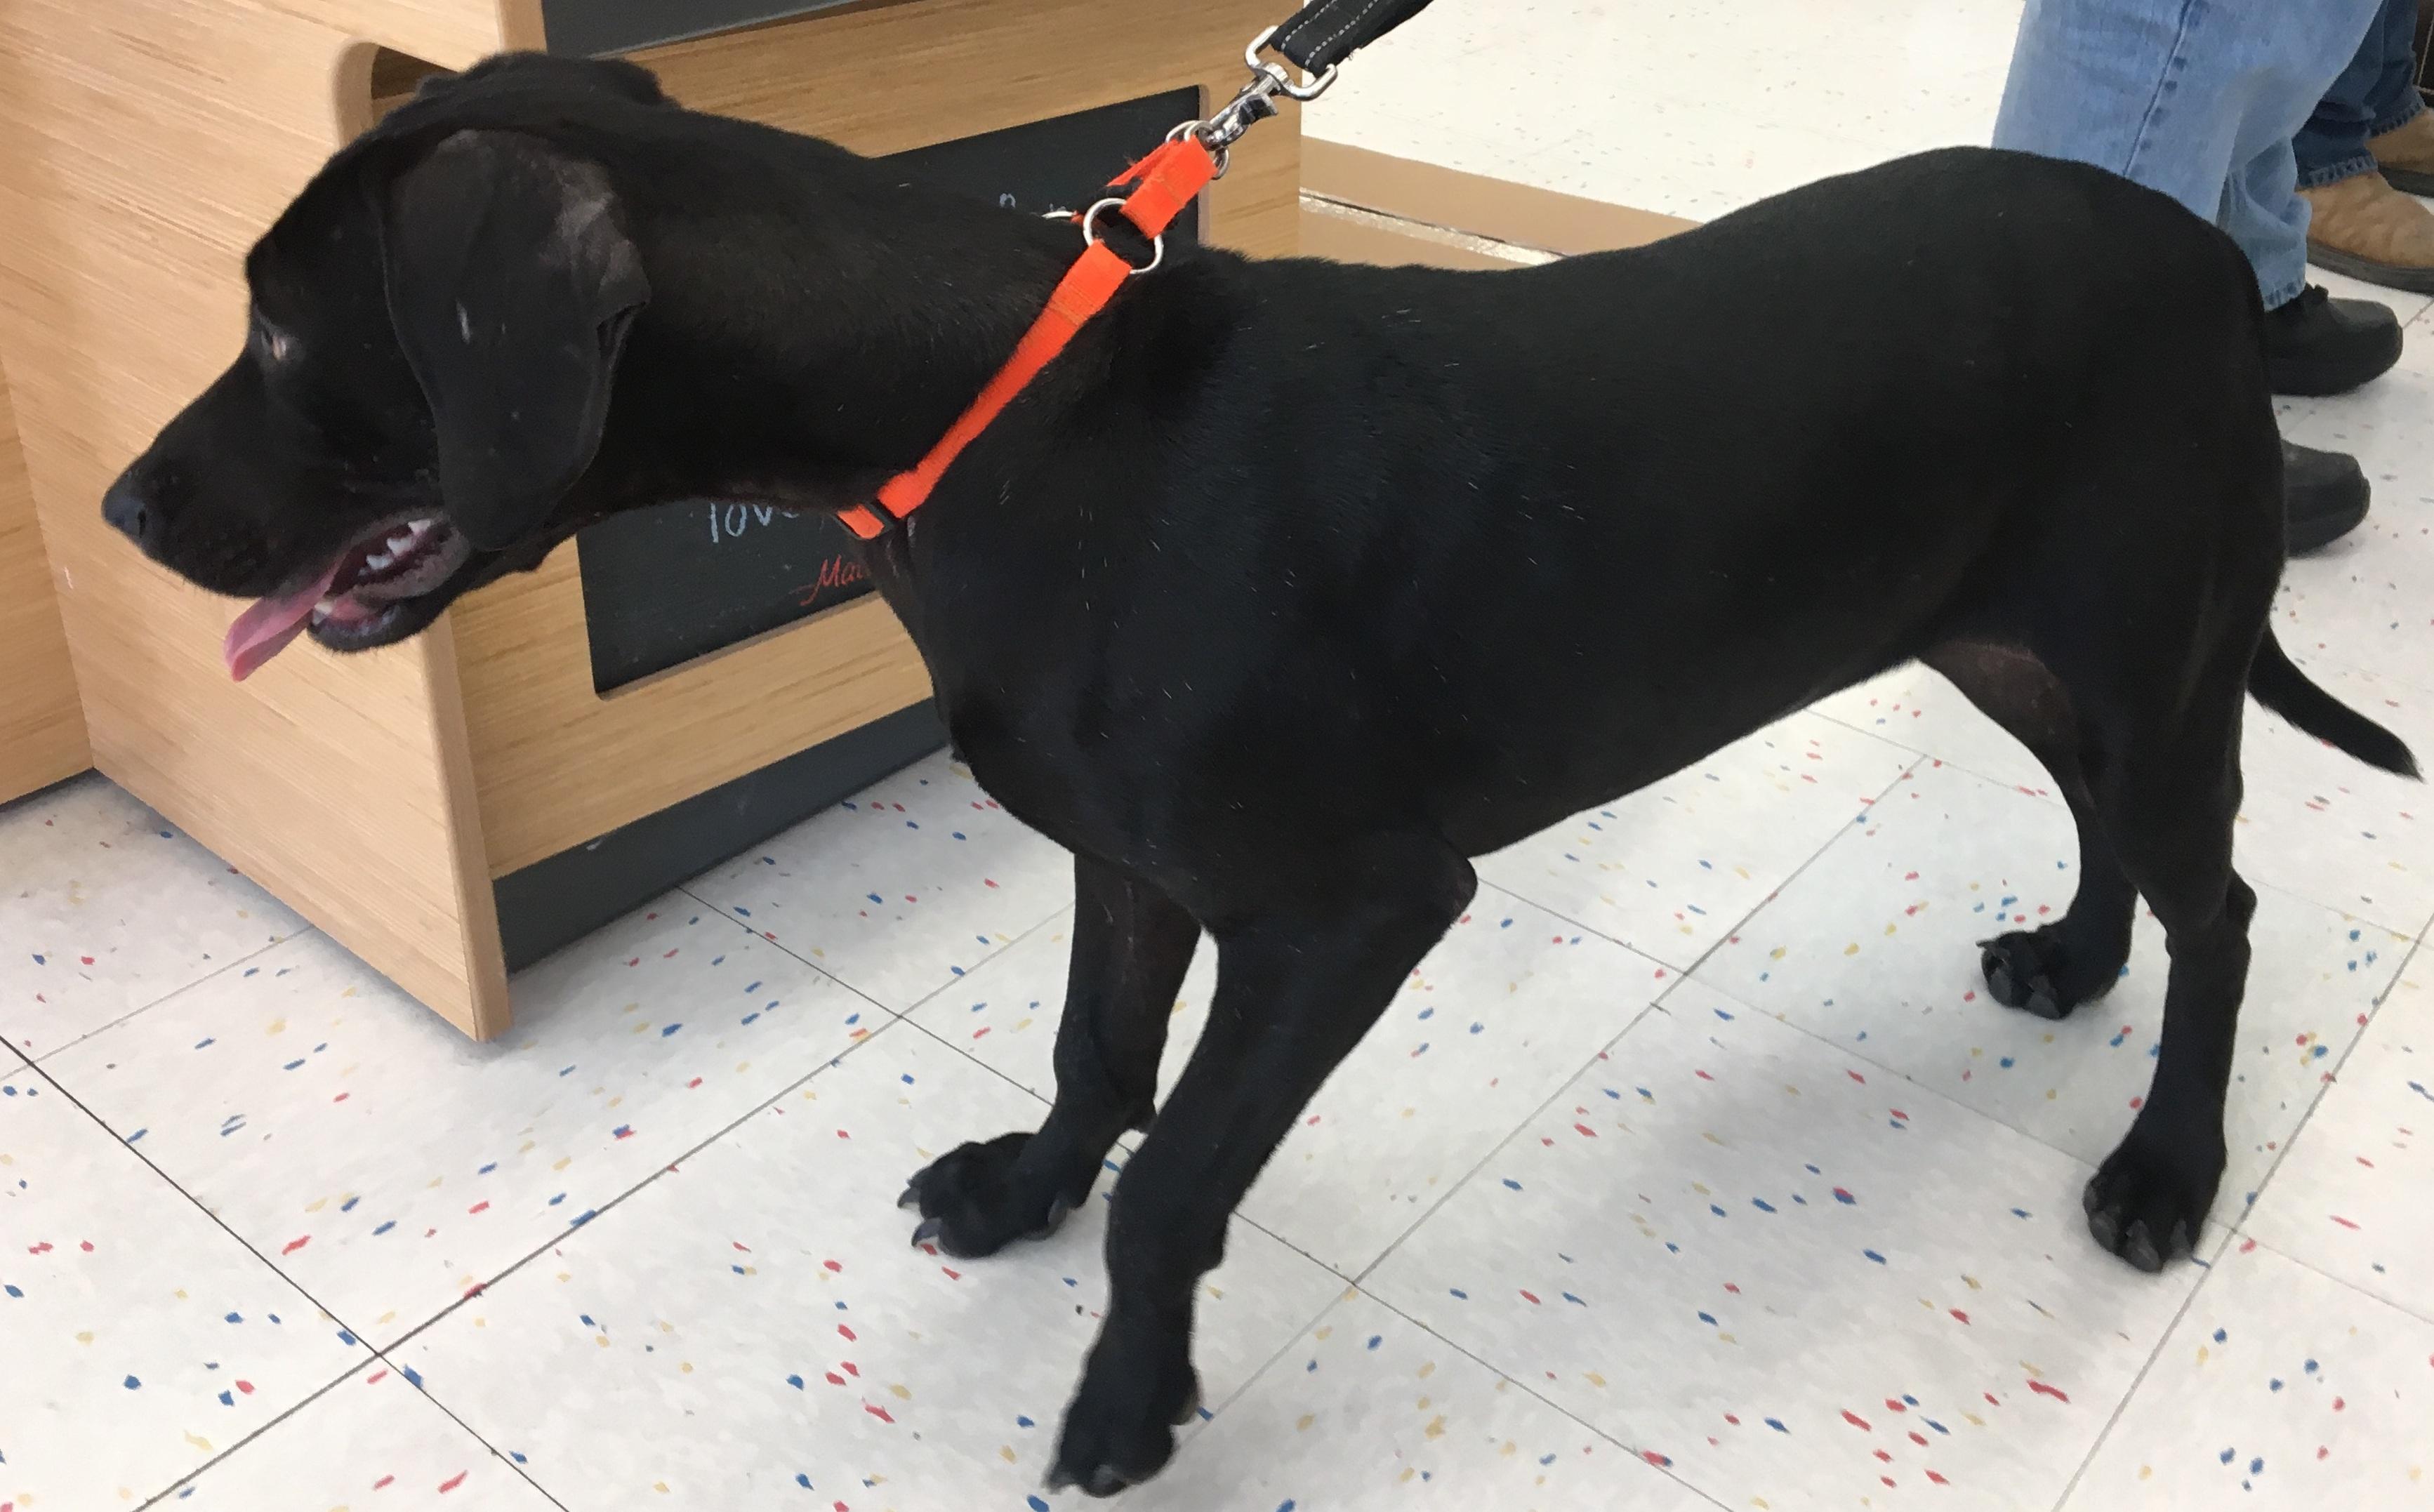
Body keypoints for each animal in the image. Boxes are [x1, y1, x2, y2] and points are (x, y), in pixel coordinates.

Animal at [100, 53, 2414, 1490]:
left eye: (289, 335)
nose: (119, 509)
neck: (1012, 426)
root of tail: (2209, 262)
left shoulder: (1346, 912)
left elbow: (1177, 1181)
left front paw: (1129, 1394)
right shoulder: (1131, 869)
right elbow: (1097, 1064)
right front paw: (1021, 1188)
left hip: (2134, 652)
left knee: (2223, 901)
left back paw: (2166, 1161)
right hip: (2010, 640)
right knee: (2112, 832)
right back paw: (2074, 961)